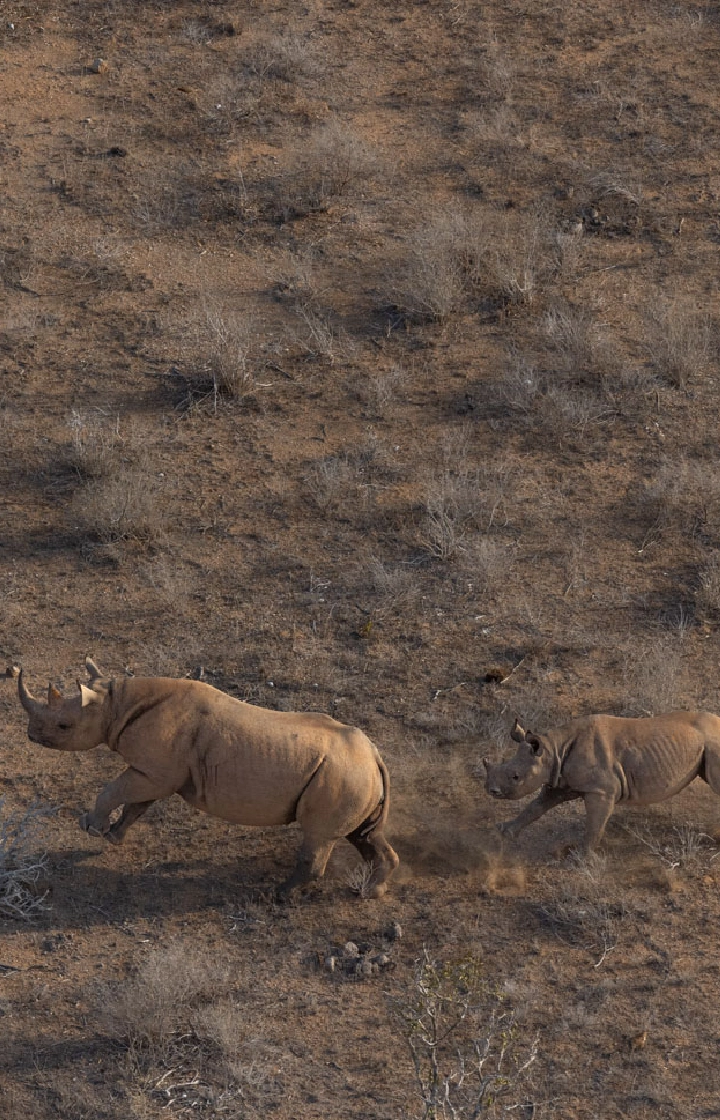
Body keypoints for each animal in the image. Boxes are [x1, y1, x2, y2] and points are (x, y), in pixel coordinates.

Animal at [18, 659, 399, 898]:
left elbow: (114, 790)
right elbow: (136, 804)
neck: (115, 703)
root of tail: (375, 757)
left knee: (319, 836)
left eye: (63, 726)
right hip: (354, 777)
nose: (30, 735)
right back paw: (371, 892)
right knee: (363, 835)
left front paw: (90, 828)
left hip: (341, 777)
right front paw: (113, 836)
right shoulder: (156, 770)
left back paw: (279, 895)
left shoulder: (156, 772)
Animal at [483, 712, 720, 851]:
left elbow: (595, 823)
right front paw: (504, 831)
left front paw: (583, 856)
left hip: (712, 743)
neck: (552, 749)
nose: (490, 790)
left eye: (515, 777)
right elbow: (536, 807)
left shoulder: (601, 790)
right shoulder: (559, 780)